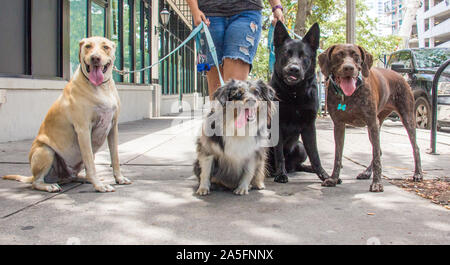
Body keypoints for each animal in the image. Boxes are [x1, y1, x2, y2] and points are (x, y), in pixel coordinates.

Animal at [2, 36, 131, 191]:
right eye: (88, 46)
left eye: (105, 47)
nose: (95, 58)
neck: (101, 88)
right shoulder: (83, 130)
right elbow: (90, 161)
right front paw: (99, 186)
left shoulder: (112, 128)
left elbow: (115, 157)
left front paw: (119, 178)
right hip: (45, 151)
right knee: (36, 182)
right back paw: (49, 186)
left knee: (78, 174)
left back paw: (84, 179)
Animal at [268, 21, 330, 183]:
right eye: (286, 53)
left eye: (304, 56)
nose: (293, 69)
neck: (294, 93)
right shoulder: (277, 126)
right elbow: (279, 155)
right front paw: (281, 174)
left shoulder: (309, 127)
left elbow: (315, 155)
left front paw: (324, 175)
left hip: (301, 148)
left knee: (298, 165)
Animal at [318, 44, 424, 191]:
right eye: (338, 55)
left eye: (356, 56)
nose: (349, 68)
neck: (349, 95)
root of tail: (400, 75)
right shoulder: (339, 125)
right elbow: (338, 156)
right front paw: (333, 179)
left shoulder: (372, 122)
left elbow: (376, 157)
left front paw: (377, 183)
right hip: (374, 125)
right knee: (378, 150)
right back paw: (367, 172)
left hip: (406, 118)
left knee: (415, 147)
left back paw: (418, 174)